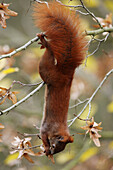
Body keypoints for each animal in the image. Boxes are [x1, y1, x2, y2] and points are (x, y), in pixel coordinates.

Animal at [32, 0, 86, 156]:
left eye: (59, 149)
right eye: (56, 145)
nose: (52, 152)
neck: (59, 129)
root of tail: (67, 73)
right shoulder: (47, 128)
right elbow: (43, 135)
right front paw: (46, 147)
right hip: (47, 69)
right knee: (49, 54)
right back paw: (46, 43)